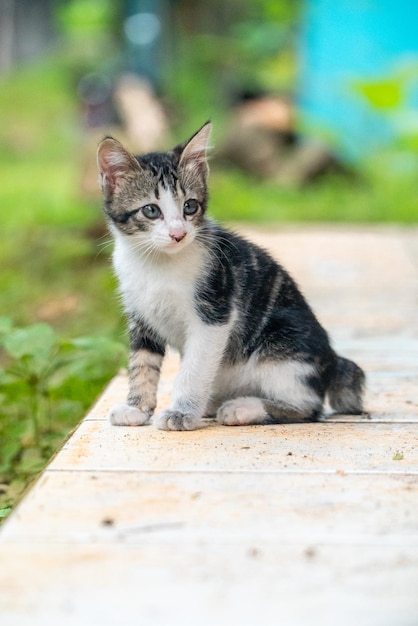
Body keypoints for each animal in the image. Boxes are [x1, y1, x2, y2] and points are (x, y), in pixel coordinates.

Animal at [96, 124, 364, 432]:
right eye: (151, 210)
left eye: (190, 206)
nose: (178, 234)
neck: (156, 263)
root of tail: (331, 361)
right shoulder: (141, 315)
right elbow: (142, 363)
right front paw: (136, 408)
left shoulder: (214, 313)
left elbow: (194, 368)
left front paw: (181, 412)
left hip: (284, 345)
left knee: (308, 408)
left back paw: (243, 408)